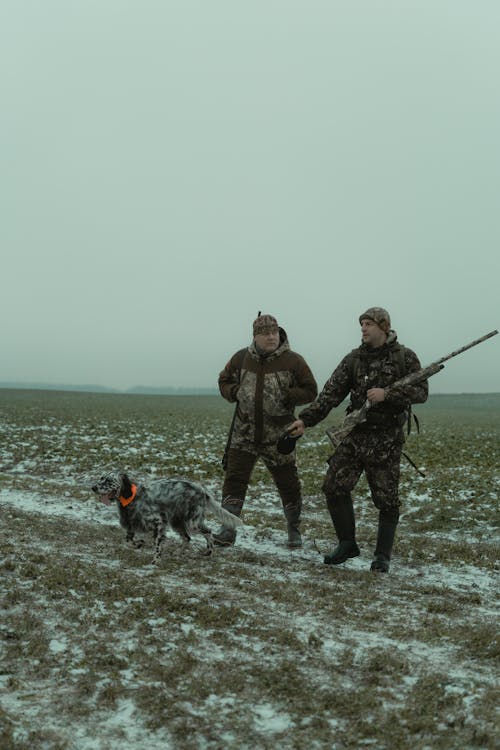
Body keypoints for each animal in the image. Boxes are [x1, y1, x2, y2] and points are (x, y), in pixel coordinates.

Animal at [93, 470, 243, 564]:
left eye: (109, 481)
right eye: (101, 478)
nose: (93, 487)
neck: (131, 498)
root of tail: (202, 490)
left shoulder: (159, 522)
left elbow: (157, 546)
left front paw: (155, 561)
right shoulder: (131, 525)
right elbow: (128, 541)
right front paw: (139, 544)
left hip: (192, 523)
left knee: (208, 532)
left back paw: (210, 552)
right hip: (177, 522)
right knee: (187, 538)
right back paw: (178, 553)